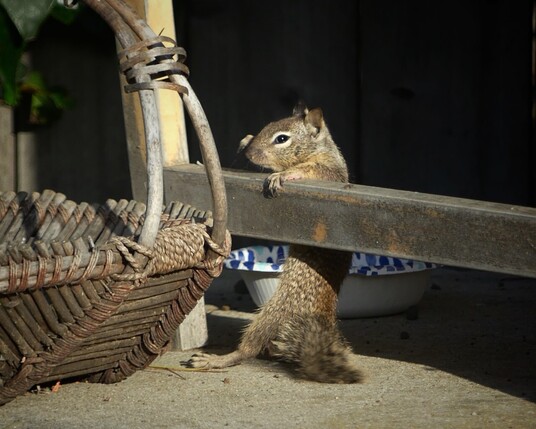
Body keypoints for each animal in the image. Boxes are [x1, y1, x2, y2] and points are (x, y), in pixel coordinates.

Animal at [186, 104, 363, 384]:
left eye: (282, 138)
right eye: (266, 126)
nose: (250, 152)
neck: (321, 150)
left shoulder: (328, 175)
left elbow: (308, 171)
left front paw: (284, 174)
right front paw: (245, 140)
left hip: (270, 316)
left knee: (248, 351)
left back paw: (215, 360)